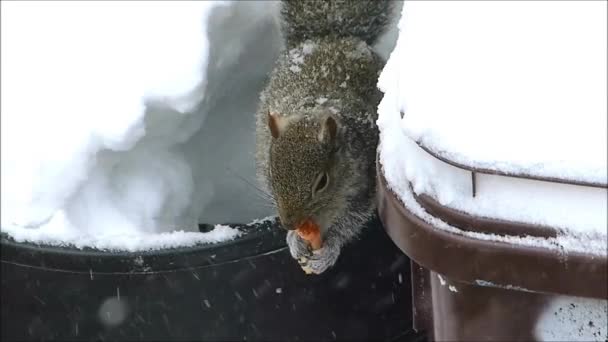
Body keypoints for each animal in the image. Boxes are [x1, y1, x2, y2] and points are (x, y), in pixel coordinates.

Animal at [254, 0, 392, 274]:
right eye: (272, 175)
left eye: (322, 182)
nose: (289, 223)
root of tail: (331, 36)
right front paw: (294, 239)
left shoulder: (367, 182)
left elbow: (352, 220)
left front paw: (329, 250)